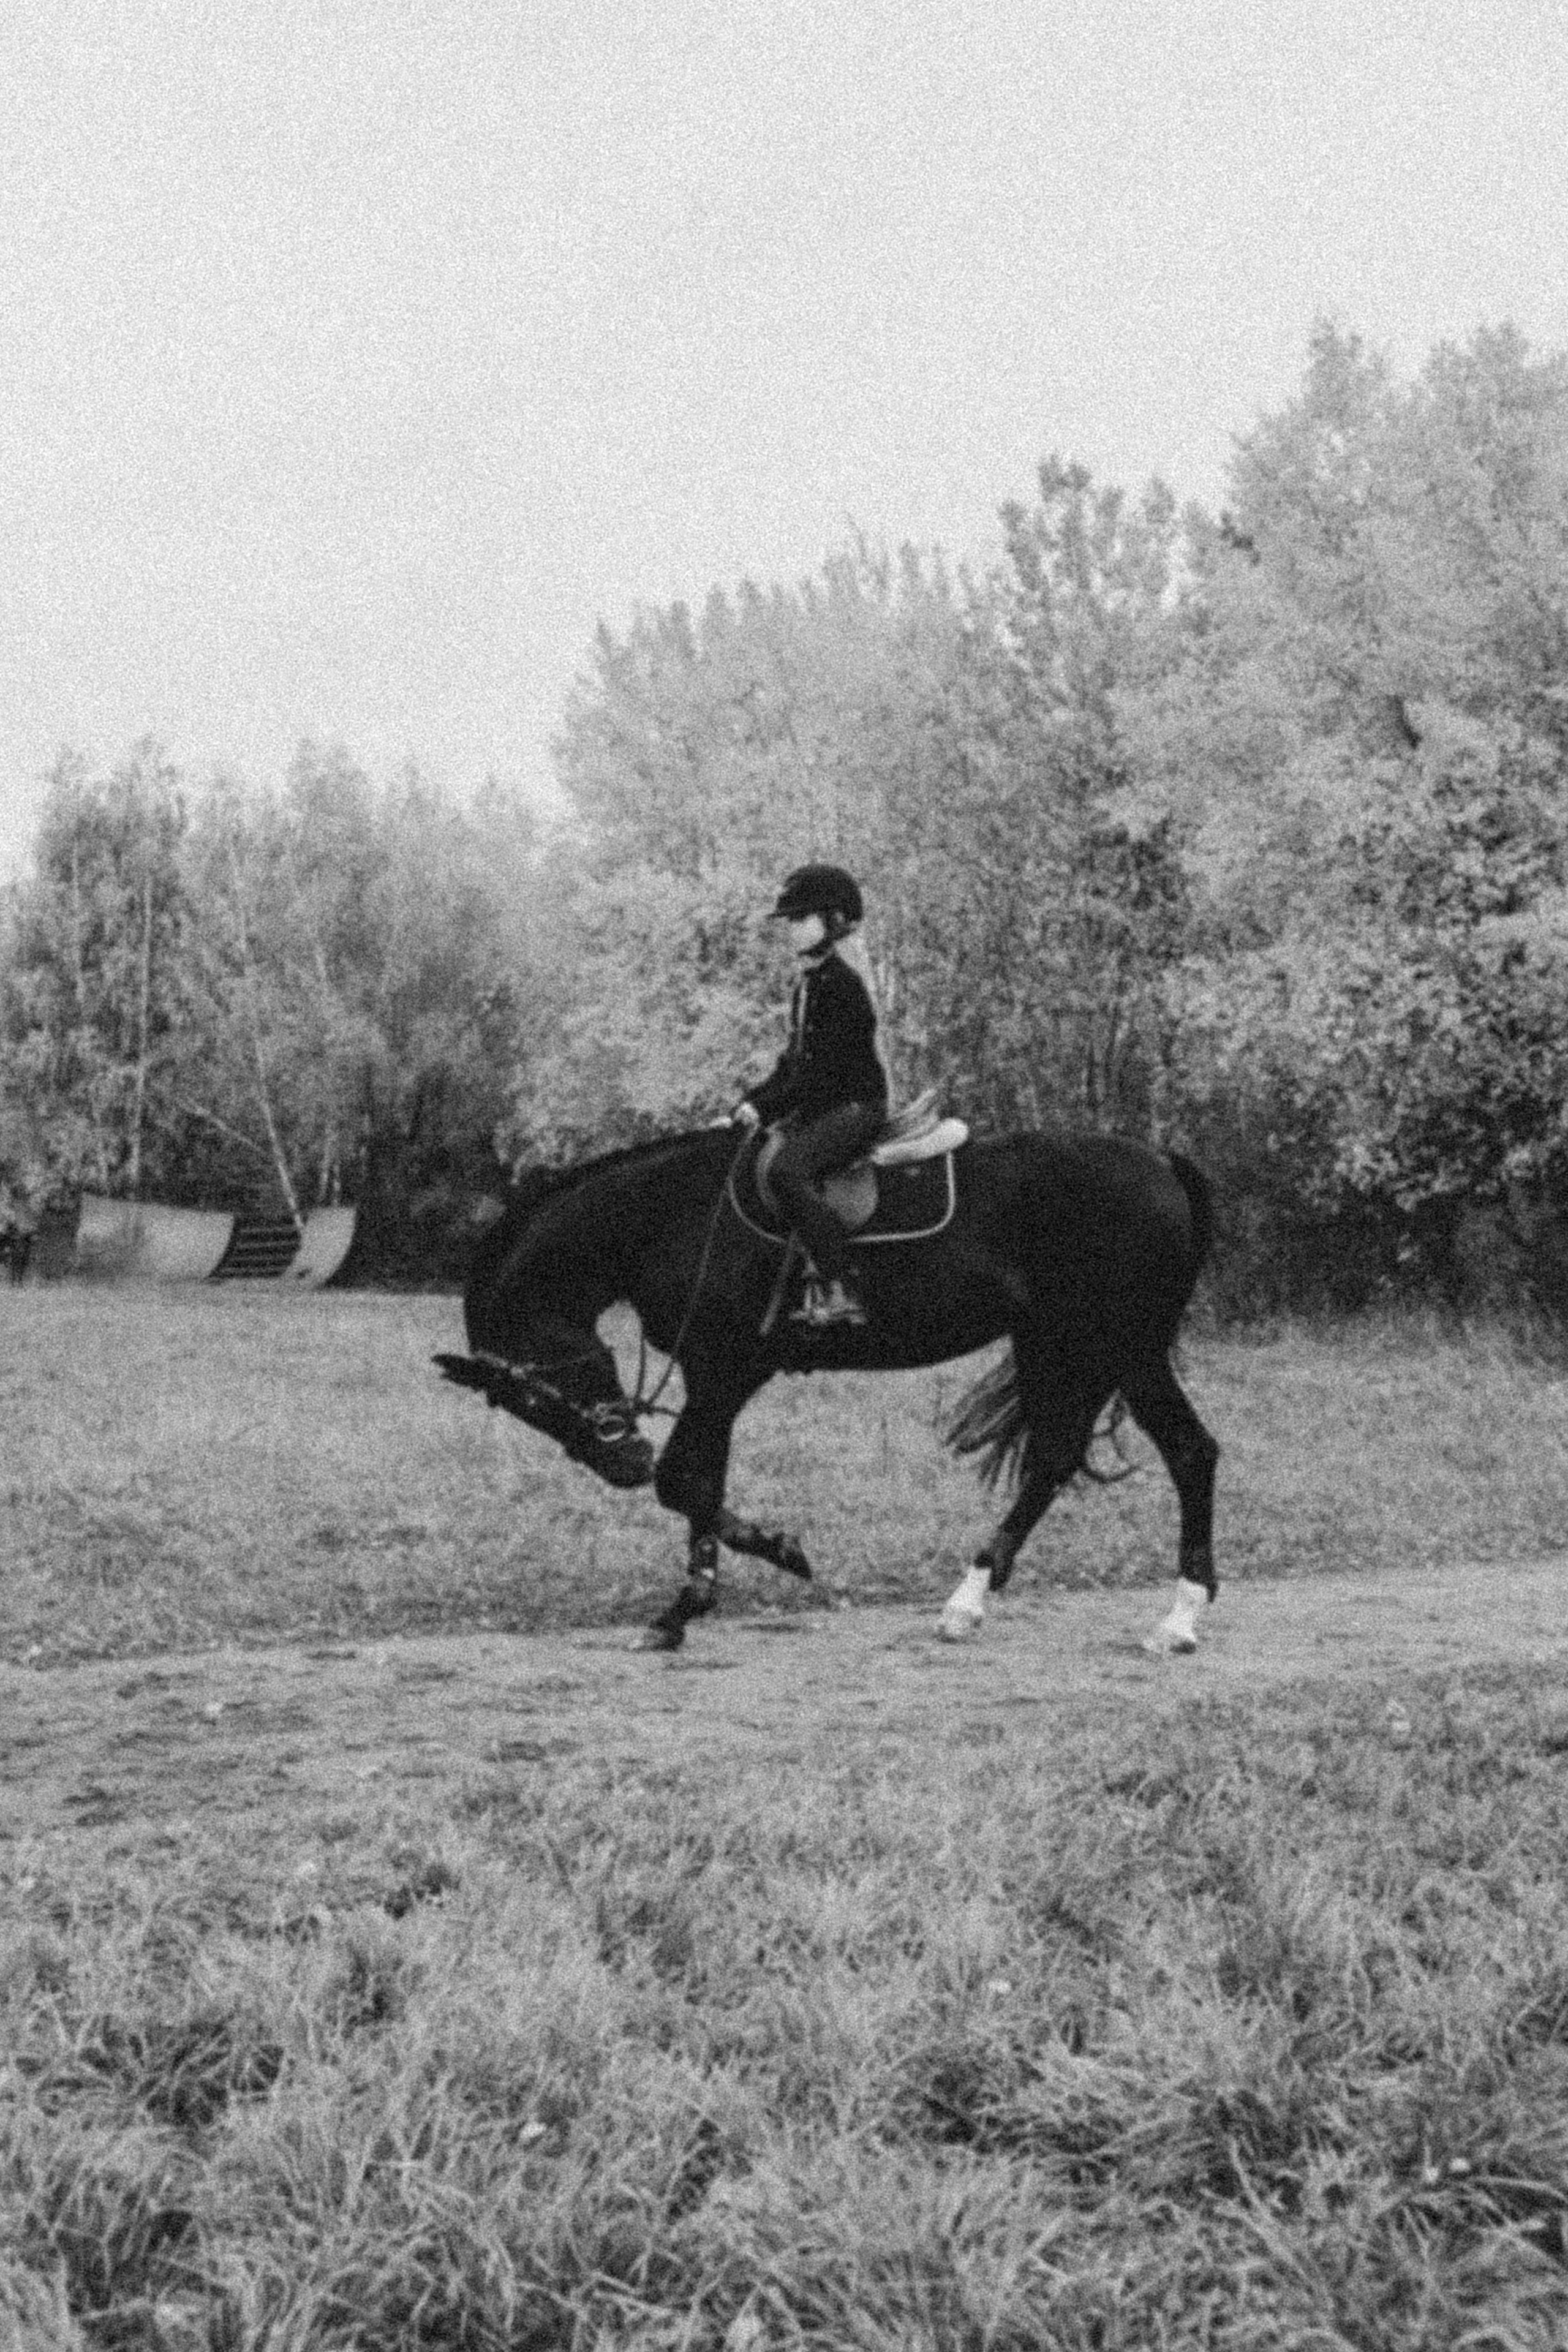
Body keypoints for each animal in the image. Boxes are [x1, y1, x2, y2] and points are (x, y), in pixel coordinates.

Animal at [437, 1122, 1219, 1653]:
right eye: (522, 1406)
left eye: (535, 1389)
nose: (619, 1462)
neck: (674, 1215)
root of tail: (1159, 1162)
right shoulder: (710, 1375)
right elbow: (697, 1483)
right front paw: (704, 1594)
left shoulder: (724, 1371)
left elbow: (684, 1480)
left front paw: (739, 1574)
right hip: (1058, 1346)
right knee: (1058, 1458)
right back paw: (968, 1601)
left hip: (1122, 1347)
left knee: (1189, 1453)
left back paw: (1177, 1618)